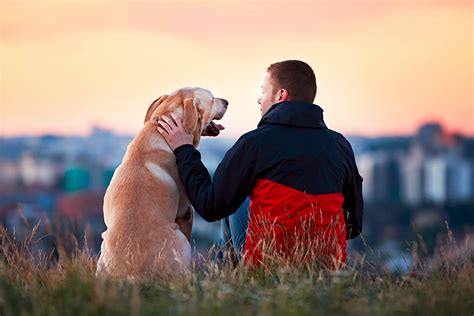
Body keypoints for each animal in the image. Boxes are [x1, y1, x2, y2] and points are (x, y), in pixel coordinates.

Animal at [96, 86, 228, 278]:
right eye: (211, 99)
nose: (227, 102)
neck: (158, 132)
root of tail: (132, 273)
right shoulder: (186, 211)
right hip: (180, 240)